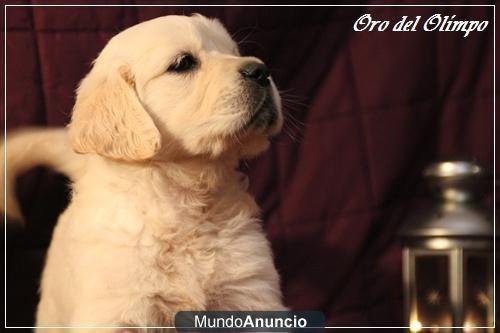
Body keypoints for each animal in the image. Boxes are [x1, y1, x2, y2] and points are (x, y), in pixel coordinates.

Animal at [2, 14, 286, 330]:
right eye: (183, 63)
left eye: (234, 52)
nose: (261, 71)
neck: (184, 197)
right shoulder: (116, 310)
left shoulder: (249, 292)